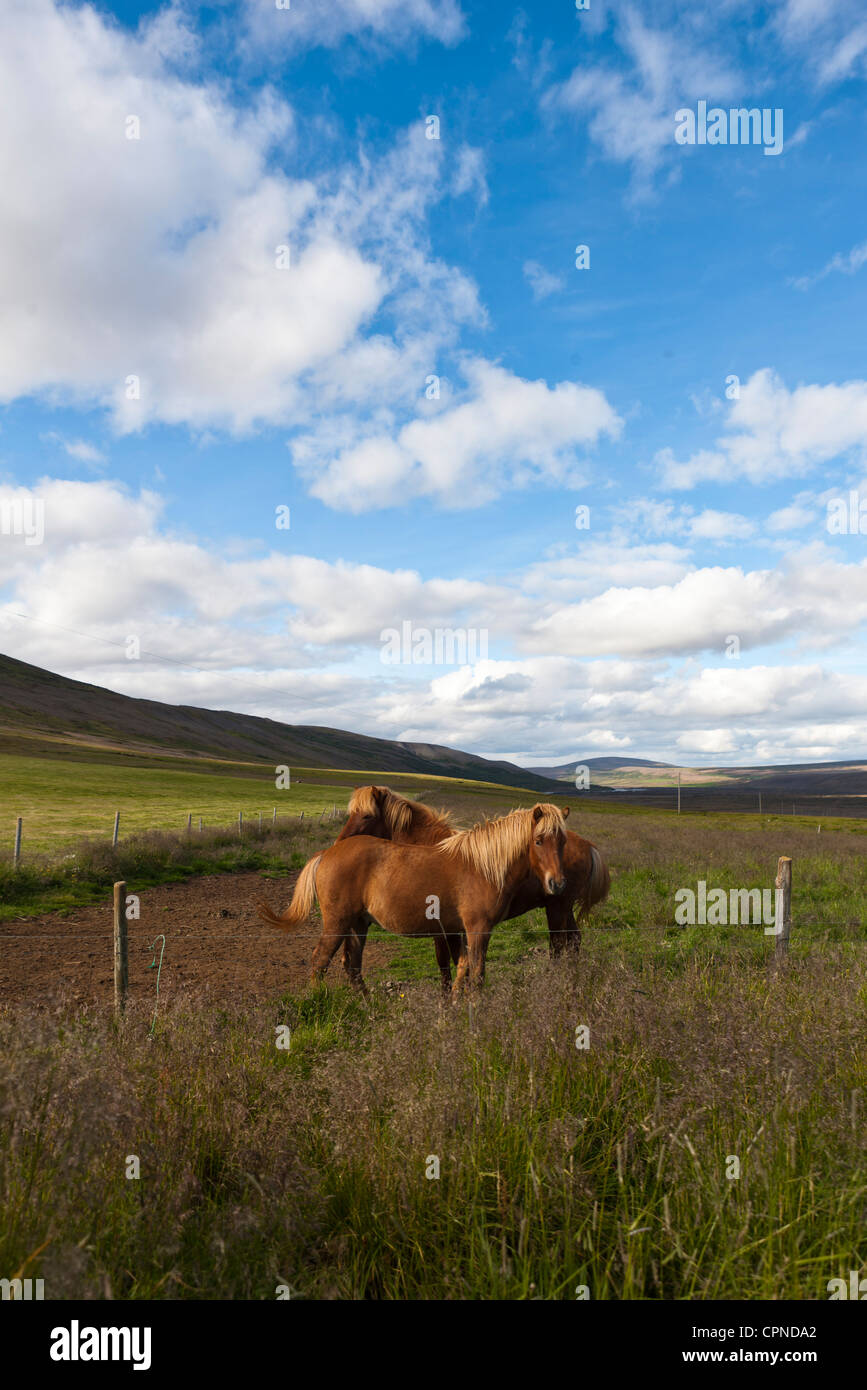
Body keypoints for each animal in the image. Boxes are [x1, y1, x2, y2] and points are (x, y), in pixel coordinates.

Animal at [257, 806, 569, 1000]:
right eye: (539, 840)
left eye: (563, 841)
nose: (557, 883)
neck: (482, 866)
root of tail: (329, 852)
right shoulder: (477, 929)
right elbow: (476, 972)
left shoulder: (457, 931)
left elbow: (462, 968)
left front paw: (455, 1004)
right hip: (337, 923)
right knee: (320, 961)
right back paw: (318, 1001)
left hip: (358, 924)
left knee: (352, 965)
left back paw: (369, 1006)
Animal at [337, 783, 608, 989]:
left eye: (367, 815)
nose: (340, 844)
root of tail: (588, 845)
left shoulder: (443, 930)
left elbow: (445, 965)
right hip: (564, 907)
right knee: (574, 941)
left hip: (557, 908)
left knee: (559, 946)